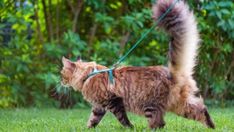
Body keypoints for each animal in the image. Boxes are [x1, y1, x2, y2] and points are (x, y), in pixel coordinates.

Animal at [60, 0, 216, 129]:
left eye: (61, 74)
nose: (60, 81)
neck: (89, 75)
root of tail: (172, 73)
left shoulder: (113, 101)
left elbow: (123, 119)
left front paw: (130, 128)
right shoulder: (99, 107)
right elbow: (93, 120)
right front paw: (88, 129)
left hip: (151, 106)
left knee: (159, 123)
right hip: (179, 105)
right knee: (200, 110)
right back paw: (211, 126)